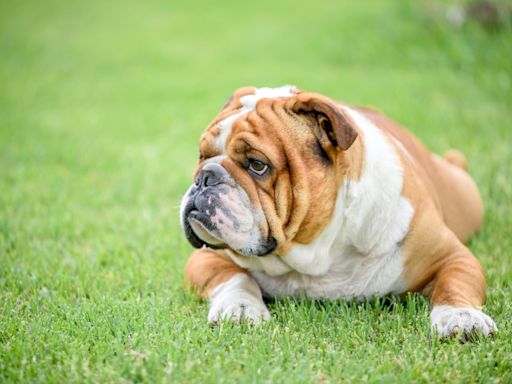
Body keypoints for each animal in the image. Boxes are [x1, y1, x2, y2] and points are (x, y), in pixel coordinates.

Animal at [179, 85, 496, 338]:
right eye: (202, 155)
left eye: (257, 165)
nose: (205, 176)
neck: (318, 250)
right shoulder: (207, 258)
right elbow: (236, 278)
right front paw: (240, 308)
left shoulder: (451, 256)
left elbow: (454, 284)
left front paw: (461, 317)